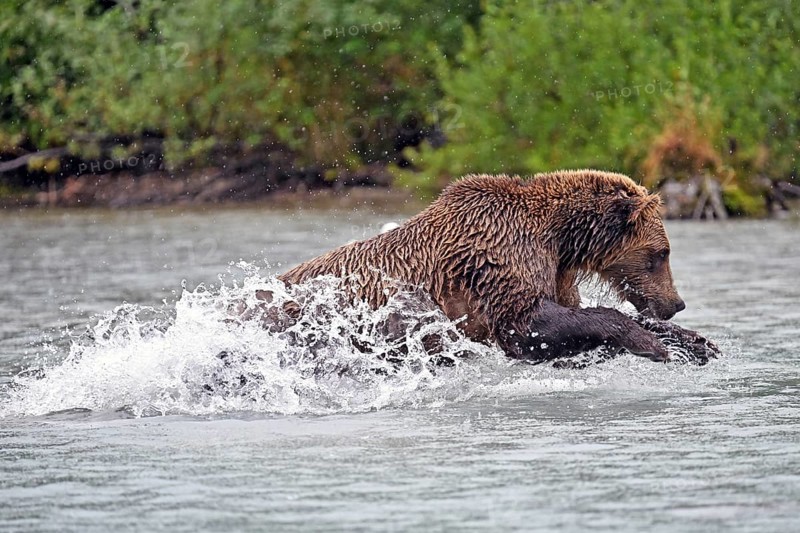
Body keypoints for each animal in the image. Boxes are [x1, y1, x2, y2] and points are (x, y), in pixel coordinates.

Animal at [279, 170, 716, 364]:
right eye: (661, 254)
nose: (675, 303)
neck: (559, 239)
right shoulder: (497, 259)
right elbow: (528, 325)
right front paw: (652, 344)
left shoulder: (556, 271)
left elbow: (572, 314)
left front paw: (696, 342)